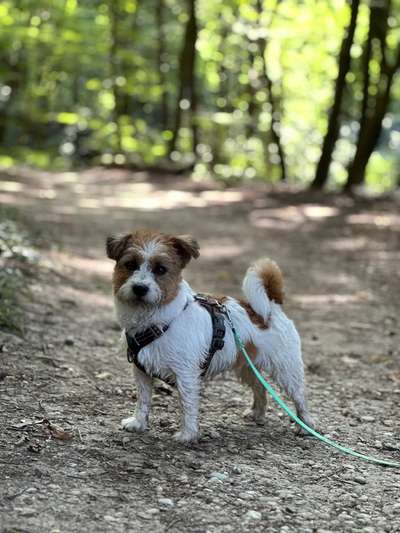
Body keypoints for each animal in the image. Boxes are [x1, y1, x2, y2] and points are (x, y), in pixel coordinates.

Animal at [108, 229, 314, 440]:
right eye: (130, 265)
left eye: (160, 269)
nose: (140, 288)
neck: (158, 320)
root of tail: (271, 307)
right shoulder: (141, 372)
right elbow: (143, 400)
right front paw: (138, 423)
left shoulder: (186, 374)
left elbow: (187, 406)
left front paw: (187, 435)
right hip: (247, 367)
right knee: (260, 387)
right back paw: (257, 414)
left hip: (287, 370)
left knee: (300, 397)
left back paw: (305, 425)